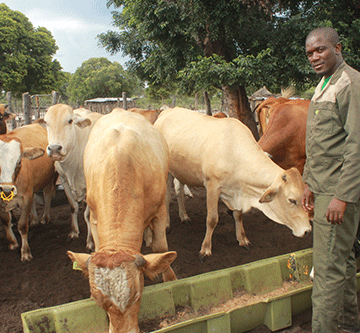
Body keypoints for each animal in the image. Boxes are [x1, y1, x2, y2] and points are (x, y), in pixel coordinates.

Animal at [0, 123, 57, 260]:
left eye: (19, 162)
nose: (6, 189)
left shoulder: (25, 197)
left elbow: (22, 225)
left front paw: (25, 252)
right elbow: (5, 220)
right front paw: (13, 243)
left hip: (49, 178)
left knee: (47, 196)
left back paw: (44, 218)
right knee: (34, 198)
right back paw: (34, 220)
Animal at [44, 104, 102, 249]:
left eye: (70, 121)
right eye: (46, 122)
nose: (54, 149)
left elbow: (88, 214)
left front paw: (90, 240)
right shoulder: (64, 181)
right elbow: (73, 206)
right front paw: (74, 232)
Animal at [67, 108, 177, 332]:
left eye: (138, 295)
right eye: (97, 300)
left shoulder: (160, 211)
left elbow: (161, 249)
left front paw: (169, 279)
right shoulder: (94, 217)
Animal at [155, 107, 312, 258]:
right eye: (292, 200)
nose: (308, 231)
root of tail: (166, 112)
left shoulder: (237, 191)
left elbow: (238, 215)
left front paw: (242, 239)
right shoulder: (212, 186)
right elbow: (212, 219)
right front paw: (205, 250)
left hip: (180, 171)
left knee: (179, 190)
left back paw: (184, 216)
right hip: (166, 171)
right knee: (167, 196)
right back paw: (167, 225)